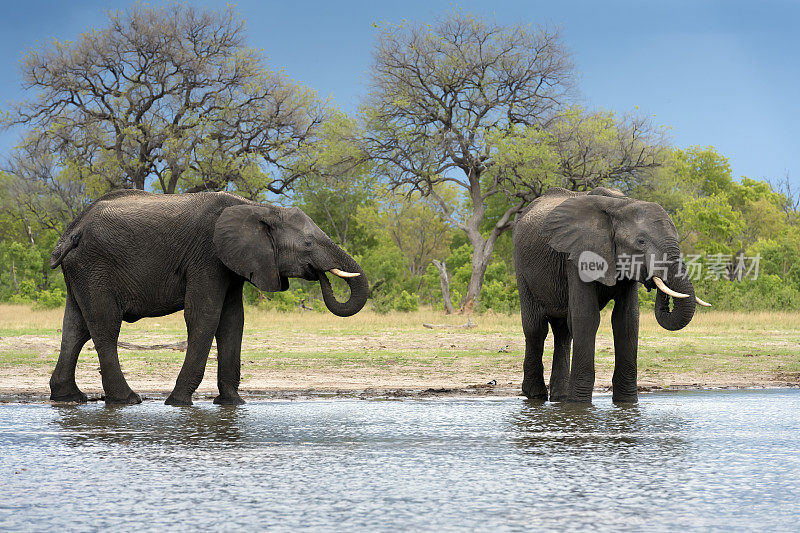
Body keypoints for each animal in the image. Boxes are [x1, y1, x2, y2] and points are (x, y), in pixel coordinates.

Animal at [51, 189, 370, 406]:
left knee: (75, 328)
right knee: (105, 327)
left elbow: (233, 321)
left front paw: (232, 404)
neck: (258, 208)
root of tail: (74, 228)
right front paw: (178, 403)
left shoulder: (233, 263)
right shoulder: (207, 256)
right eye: (308, 244)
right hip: (95, 266)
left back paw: (69, 398)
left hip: (81, 271)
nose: (322, 275)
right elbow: (205, 316)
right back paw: (128, 399)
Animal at [512, 187, 708, 404]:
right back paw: (536, 396)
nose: (655, 281)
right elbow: (586, 317)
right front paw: (579, 404)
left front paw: (627, 402)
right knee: (536, 328)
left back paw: (560, 398)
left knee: (563, 331)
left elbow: (627, 320)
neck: (620, 205)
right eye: (641, 241)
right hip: (522, 268)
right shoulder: (578, 255)